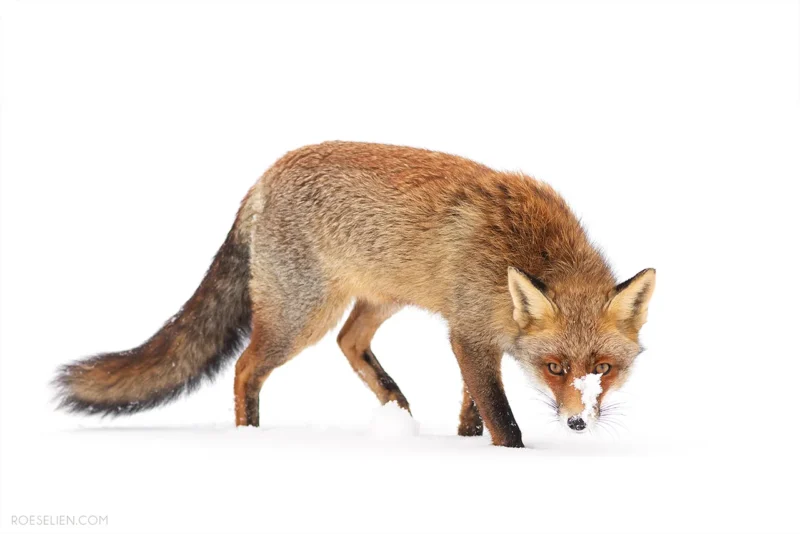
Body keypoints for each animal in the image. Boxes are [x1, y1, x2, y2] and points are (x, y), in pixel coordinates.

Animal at [54, 141, 655, 447]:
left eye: (603, 368)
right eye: (555, 367)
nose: (578, 423)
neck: (523, 249)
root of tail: (265, 176)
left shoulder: (473, 333)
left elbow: (473, 404)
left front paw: (464, 441)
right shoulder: (467, 334)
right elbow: (502, 417)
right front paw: (507, 456)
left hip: (379, 298)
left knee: (349, 342)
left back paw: (397, 413)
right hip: (301, 316)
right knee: (246, 367)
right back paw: (249, 439)